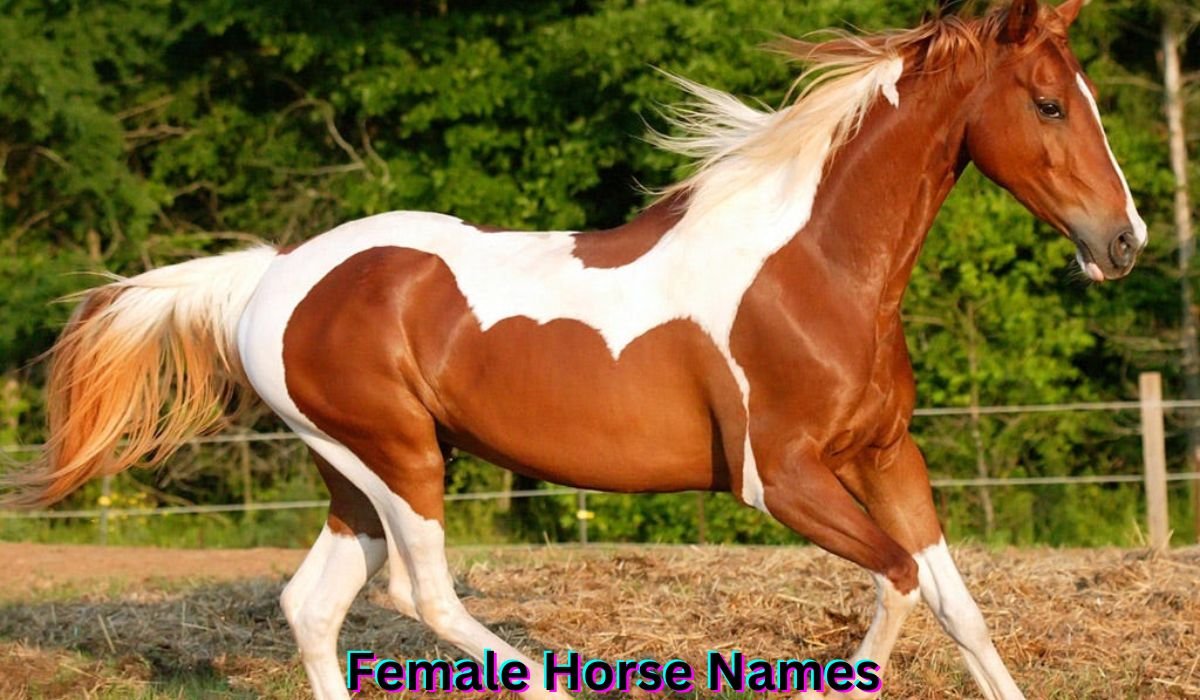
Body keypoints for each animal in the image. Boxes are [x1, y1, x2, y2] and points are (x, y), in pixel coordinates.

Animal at [3, 0, 1144, 698]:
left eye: (1085, 98)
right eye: (1048, 103)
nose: (1122, 241)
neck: (812, 267)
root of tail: (271, 274)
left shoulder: (885, 456)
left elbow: (958, 605)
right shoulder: (779, 478)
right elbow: (900, 583)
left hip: (356, 472)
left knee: (313, 604)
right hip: (398, 461)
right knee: (422, 596)